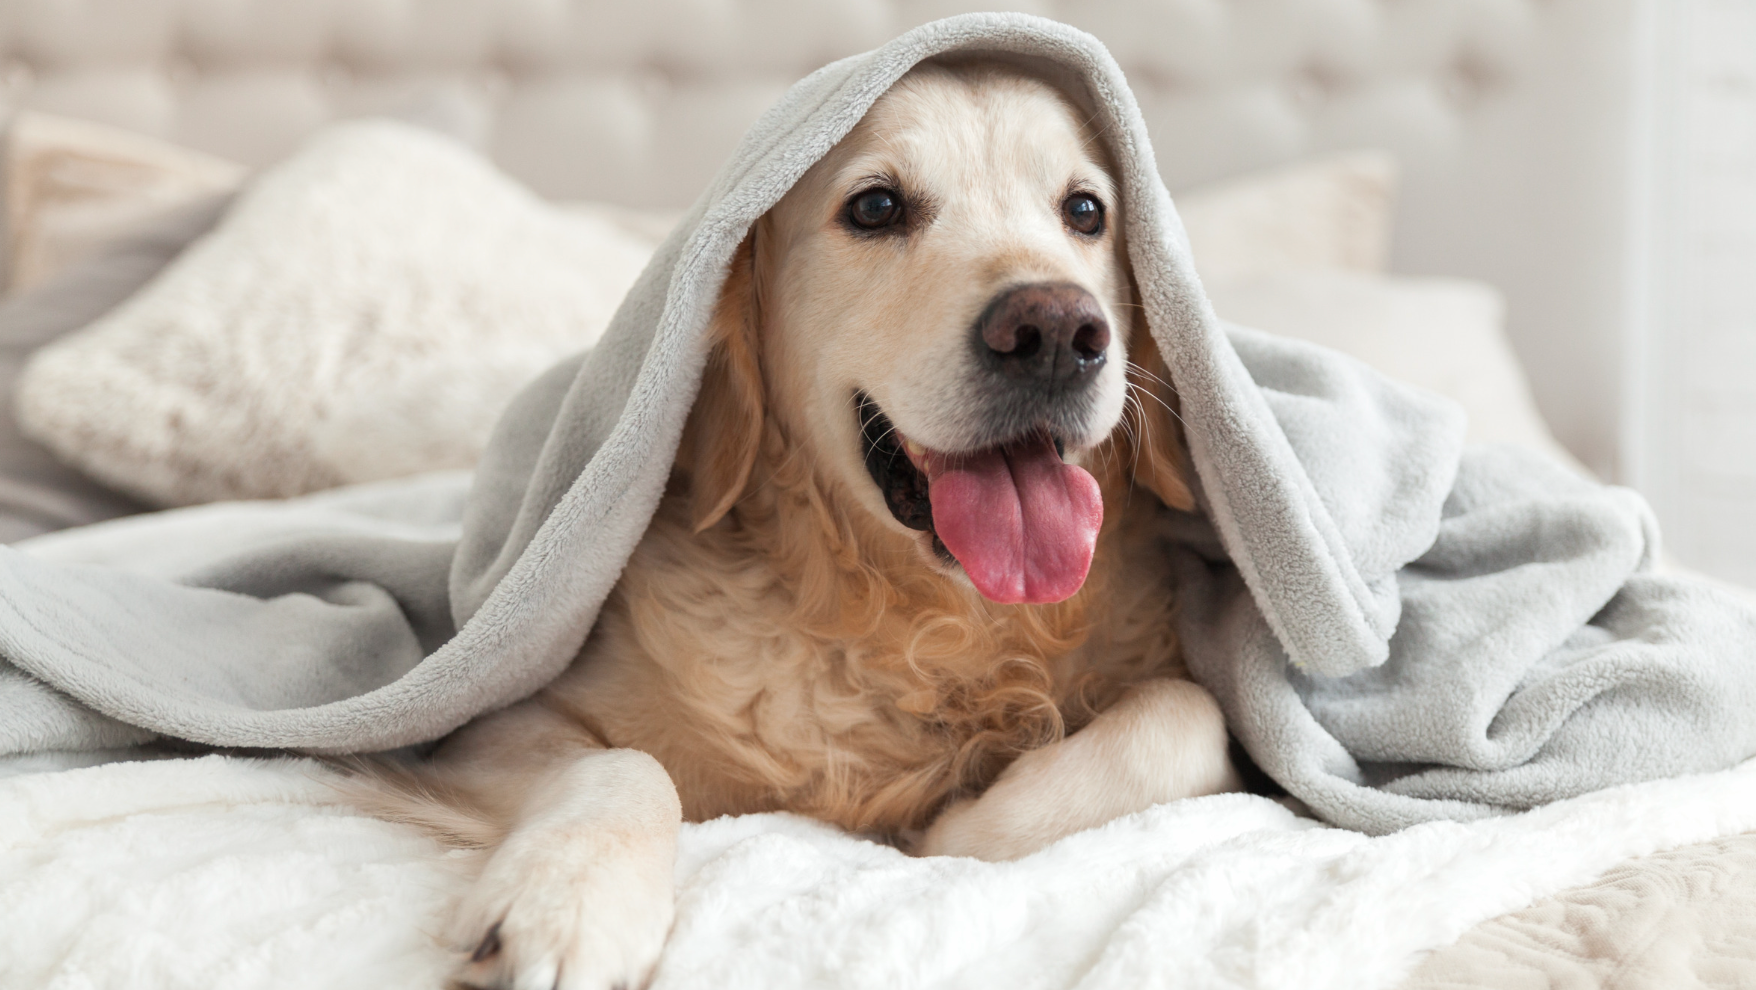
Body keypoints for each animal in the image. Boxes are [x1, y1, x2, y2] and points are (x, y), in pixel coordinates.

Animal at [374, 57, 1236, 982]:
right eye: (877, 207)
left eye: (1085, 212)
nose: (1055, 331)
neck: (920, 623)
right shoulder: (482, 728)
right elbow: (623, 762)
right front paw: (565, 904)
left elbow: (1189, 714)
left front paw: (967, 823)